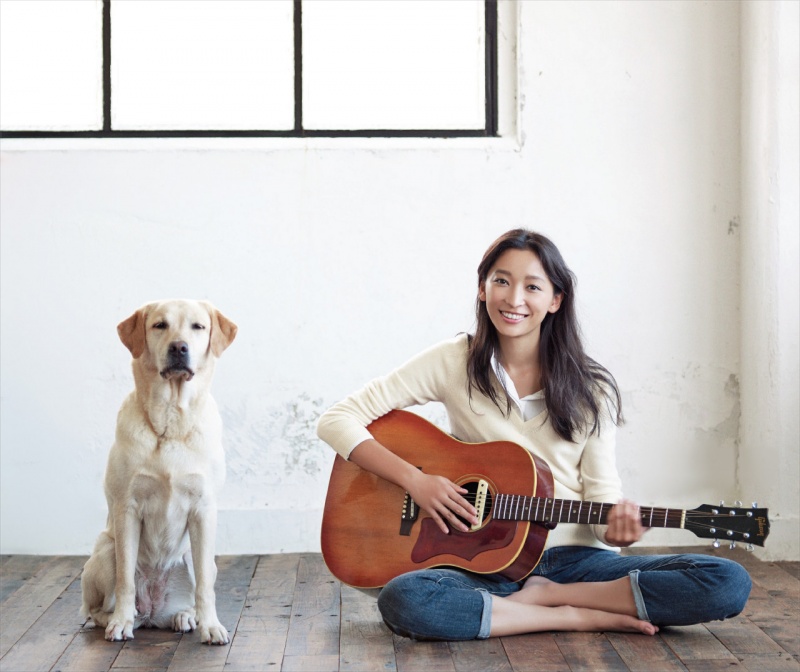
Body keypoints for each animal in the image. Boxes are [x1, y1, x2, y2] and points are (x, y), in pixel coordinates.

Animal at [81, 300, 238, 644]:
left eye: (198, 327)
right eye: (159, 325)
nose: (179, 347)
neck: (171, 419)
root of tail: (153, 613)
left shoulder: (203, 510)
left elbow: (204, 587)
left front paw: (211, 626)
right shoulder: (127, 508)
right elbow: (125, 581)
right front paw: (121, 623)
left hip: (197, 557)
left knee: (195, 587)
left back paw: (185, 616)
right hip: (105, 550)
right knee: (92, 610)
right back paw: (119, 619)